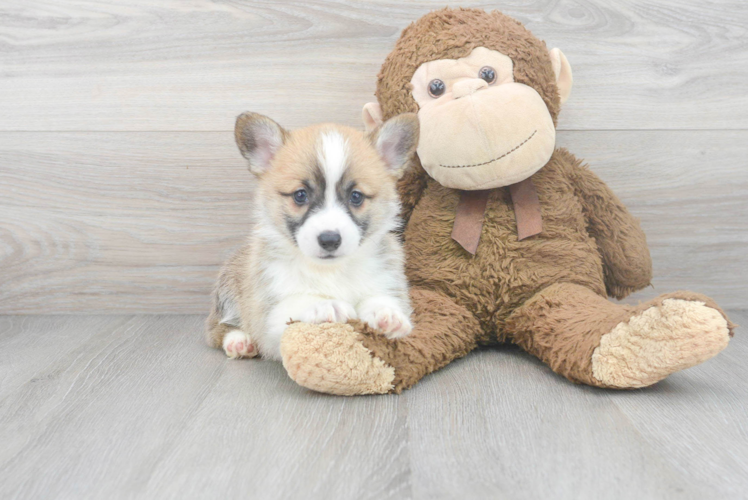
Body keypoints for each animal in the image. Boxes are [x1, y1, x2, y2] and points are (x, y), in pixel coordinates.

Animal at [205, 111, 418, 360]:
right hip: (227, 289)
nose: (330, 240)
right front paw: (327, 305)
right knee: (216, 328)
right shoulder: (268, 315)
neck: (331, 270)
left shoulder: (386, 282)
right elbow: (297, 301)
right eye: (300, 195)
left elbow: (381, 298)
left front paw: (387, 314)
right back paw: (239, 341)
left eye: (356, 196)